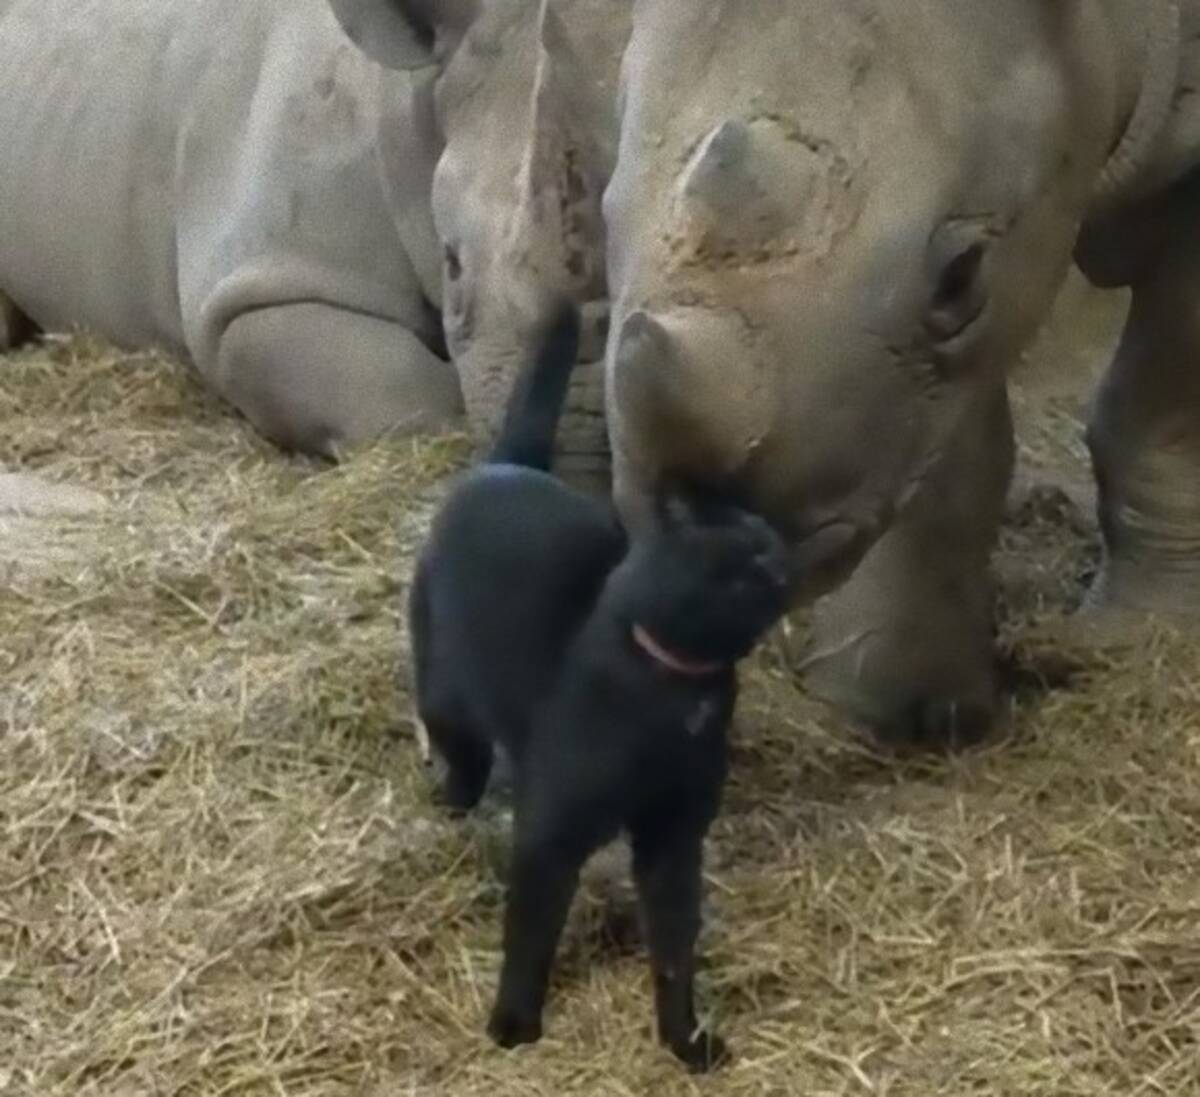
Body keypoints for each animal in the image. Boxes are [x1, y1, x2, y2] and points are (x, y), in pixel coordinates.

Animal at [408, 301, 792, 1070]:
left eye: (766, 542)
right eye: (747, 554)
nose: (785, 560)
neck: (677, 690)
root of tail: (504, 466)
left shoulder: (675, 834)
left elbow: (674, 947)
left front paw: (685, 1038)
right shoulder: (551, 832)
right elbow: (531, 932)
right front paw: (514, 1022)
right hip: (443, 685)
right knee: (460, 750)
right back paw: (453, 800)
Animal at [604, 0, 1200, 744]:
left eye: (961, 275)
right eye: (604, 214)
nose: (699, 533)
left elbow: (1160, 402)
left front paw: (1142, 635)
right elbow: (931, 451)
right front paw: (898, 706)